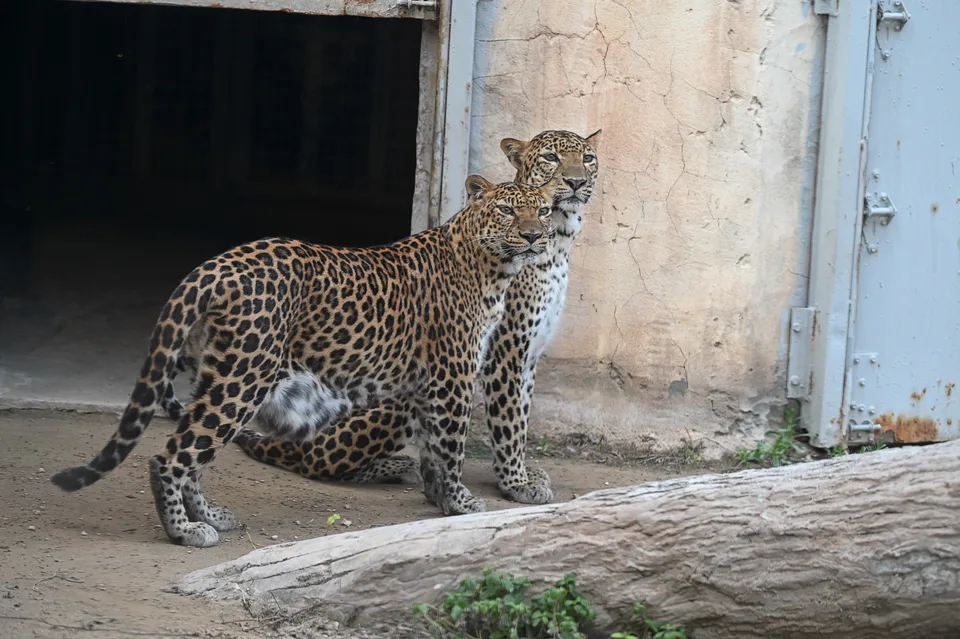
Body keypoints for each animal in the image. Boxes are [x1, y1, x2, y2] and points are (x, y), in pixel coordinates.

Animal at [49, 174, 557, 547]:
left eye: (544, 210)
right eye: (507, 209)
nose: (534, 236)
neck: (494, 267)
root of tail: (215, 265)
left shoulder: (428, 380)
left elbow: (434, 447)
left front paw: (438, 500)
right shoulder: (453, 373)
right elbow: (451, 446)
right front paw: (460, 502)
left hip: (216, 373)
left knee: (193, 452)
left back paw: (211, 515)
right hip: (244, 377)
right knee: (171, 455)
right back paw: (186, 531)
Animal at [230, 129, 601, 505]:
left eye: (587, 158)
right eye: (551, 158)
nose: (576, 182)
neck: (559, 242)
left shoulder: (530, 353)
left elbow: (523, 415)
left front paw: (525, 474)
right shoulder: (506, 351)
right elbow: (509, 420)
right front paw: (516, 483)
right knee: (316, 459)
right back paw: (399, 467)